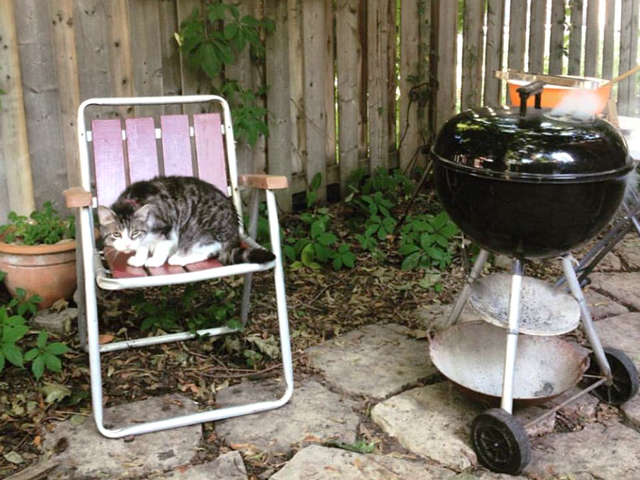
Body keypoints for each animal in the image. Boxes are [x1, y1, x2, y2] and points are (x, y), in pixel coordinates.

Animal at [97, 176, 275, 268]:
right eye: (116, 234)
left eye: (134, 232)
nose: (127, 245)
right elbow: (142, 247)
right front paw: (139, 258)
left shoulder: (168, 228)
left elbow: (162, 246)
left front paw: (154, 260)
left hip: (197, 231)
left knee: (208, 251)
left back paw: (177, 258)